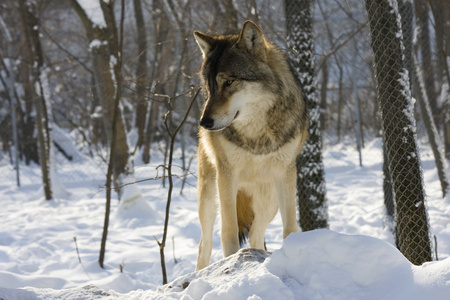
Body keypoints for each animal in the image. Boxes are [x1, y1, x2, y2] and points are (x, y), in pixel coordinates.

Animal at [193, 19, 310, 270]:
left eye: (229, 82)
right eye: (209, 87)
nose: (204, 123)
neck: (257, 136)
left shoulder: (286, 174)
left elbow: (290, 228)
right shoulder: (227, 174)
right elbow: (228, 231)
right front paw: (230, 261)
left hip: (269, 201)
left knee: (257, 236)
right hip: (209, 198)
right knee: (204, 244)